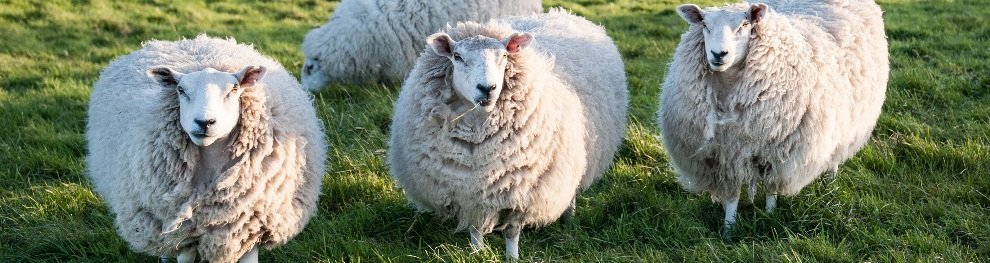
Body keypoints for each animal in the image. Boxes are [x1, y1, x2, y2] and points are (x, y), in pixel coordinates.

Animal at [388, 8, 628, 262]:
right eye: (457, 57)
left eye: (503, 56)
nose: (487, 88)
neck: (478, 133)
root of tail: (560, 13)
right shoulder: (471, 191)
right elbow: (475, 226)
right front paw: (477, 252)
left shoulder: (521, 192)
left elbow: (512, 231)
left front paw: (512, 256)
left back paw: (568, 216)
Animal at [660, 0, 892, 235]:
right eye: (705, 25)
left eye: (745, 24)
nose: (719, 54)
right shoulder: (726, 155)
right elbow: (732, 195)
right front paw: (729, 228)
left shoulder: (778, 151)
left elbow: (772, 189)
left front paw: (770, 216)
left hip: (846, 121)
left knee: (835, 155)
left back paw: (830, 184)